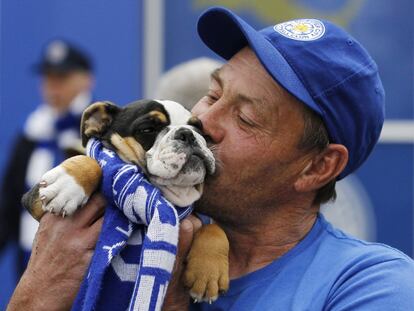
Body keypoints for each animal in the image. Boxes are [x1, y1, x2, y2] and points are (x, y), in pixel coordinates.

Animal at [21, 99, 230, 302]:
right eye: (147, 129)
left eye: (199, 129)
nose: (187, 133)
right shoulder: (36, 201)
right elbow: (92, 161)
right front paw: (67, 184)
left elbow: (214, 227)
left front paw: (208, 272)